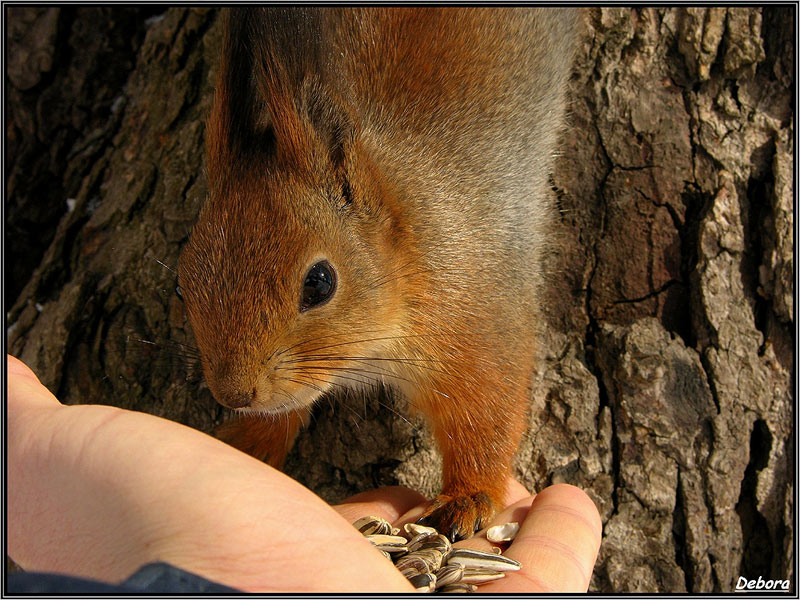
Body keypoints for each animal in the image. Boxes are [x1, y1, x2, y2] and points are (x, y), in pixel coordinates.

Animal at [178, 7, 580, 540]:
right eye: (182, 282)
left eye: (319, 282)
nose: (235, 393)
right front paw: (249, 439)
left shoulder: (483, 316)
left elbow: (487, 415)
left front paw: (468, 498)